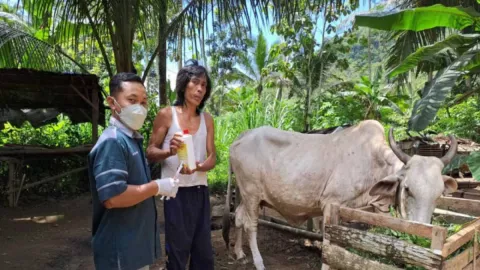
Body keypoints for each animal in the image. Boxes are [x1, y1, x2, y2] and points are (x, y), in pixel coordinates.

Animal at [221, 120, 458, 270]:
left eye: (439, 194)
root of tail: (241, 137)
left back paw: (239, 253)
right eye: (407, 188)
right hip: (251, 193)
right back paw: (258, 262)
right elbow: (329, 241)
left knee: (239, 218)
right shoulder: (330, 204)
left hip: (247, 195)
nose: (422, 235)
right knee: (251, 224)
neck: (372, 160)